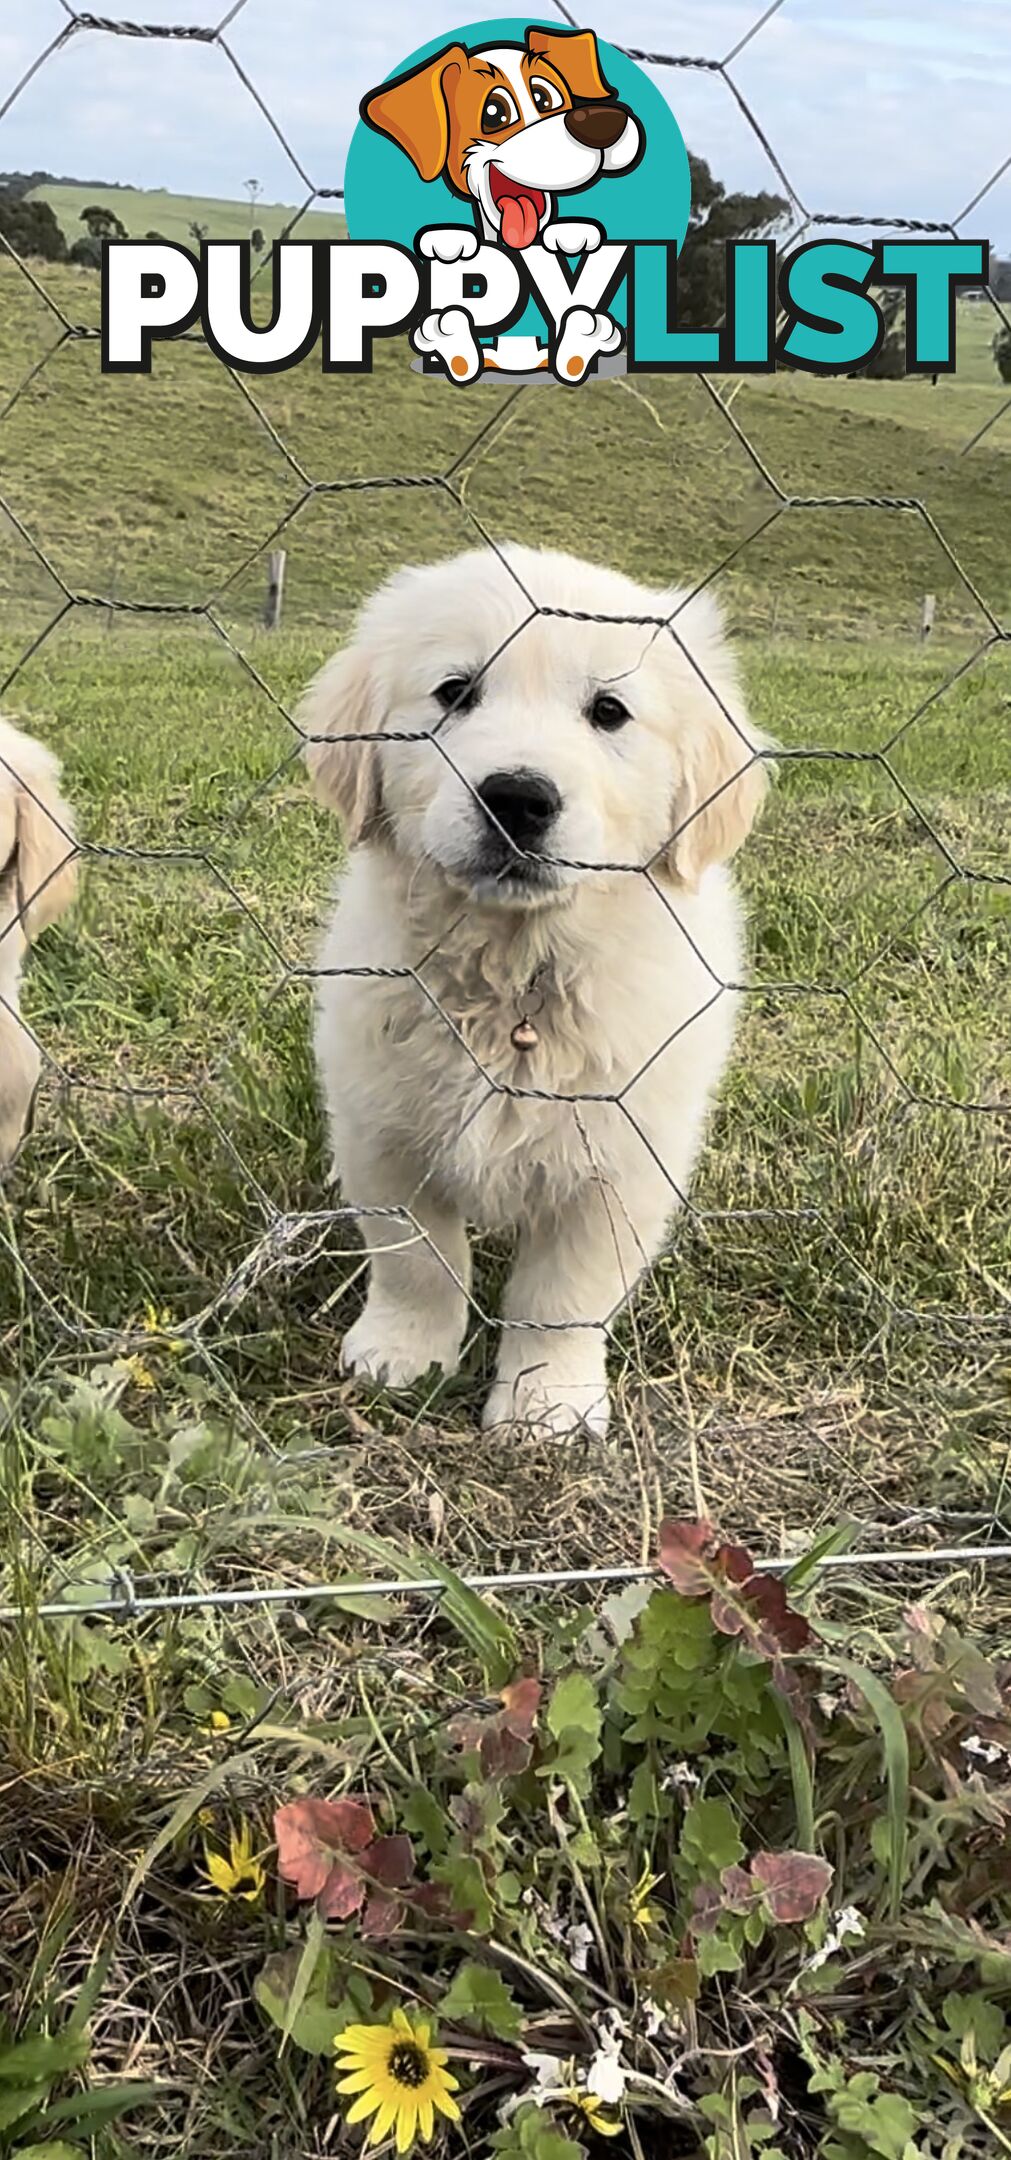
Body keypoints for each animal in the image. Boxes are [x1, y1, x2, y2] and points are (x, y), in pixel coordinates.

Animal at [304, 548, 769, 1442]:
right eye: (454, 692)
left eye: (608, 711)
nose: (517, 796)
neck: (515, 973)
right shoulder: (383, 1130)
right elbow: (417, 1260)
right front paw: (403, 1353)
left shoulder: (621, 1163)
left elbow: (562, 1294)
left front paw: (544, 1404)